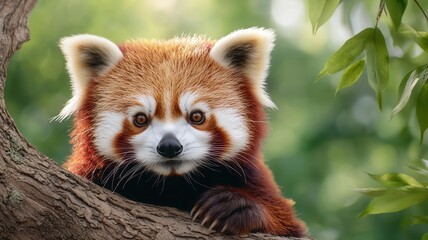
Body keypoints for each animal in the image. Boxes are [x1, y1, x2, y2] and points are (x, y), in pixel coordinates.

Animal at [57, 27, 308, 236]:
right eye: (140, 119)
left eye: (197, 116)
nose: (169, 146)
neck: (172, 185)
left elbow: (289, 225)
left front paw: (233, 207)